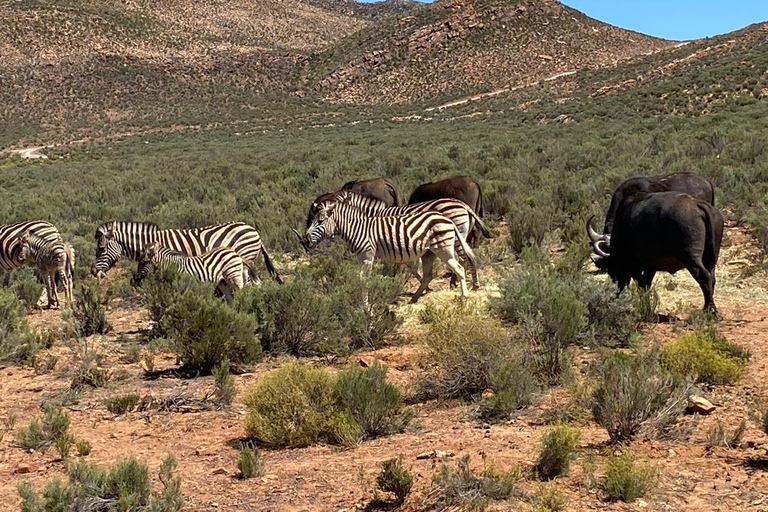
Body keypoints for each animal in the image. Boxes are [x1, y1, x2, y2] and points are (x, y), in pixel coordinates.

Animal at [300, 190, 492, 290]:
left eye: (329, 202)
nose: (305, 241)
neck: (372, 215)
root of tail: (461, 204)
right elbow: (406, 264)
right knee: (466, 257)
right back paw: (468, 283)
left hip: (457, 233)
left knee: (463, 258)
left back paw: (462, 283)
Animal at [592, 192, 724, 312]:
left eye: (611, 266)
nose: (616, 285)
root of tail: (696, 204)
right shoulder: (651, 267)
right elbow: (646, 285)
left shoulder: (633, 267)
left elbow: (641, 285)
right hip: (711, 259)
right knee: (712, 278)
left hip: (691, 258)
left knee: (704, 277)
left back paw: (709, 310)